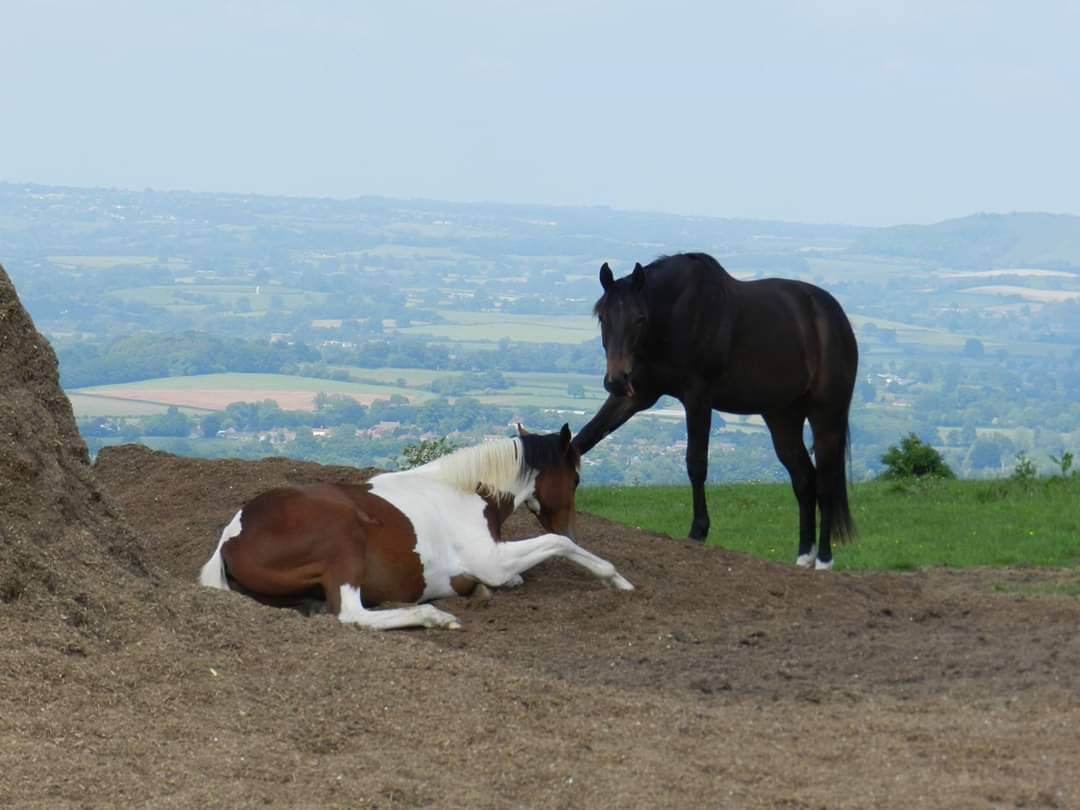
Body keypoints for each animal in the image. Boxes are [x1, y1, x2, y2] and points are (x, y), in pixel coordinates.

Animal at [198, 427, 630, 630]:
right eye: (576, 478)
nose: (571, 527)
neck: (466, 492)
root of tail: (230, 539)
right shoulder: (493, 561)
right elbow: (556, 544)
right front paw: (618, 580)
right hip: (344, 542)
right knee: (352, 614)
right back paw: (434, 616)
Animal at [574, 253, 859, 570]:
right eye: (603, 317)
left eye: (639, 319)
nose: (616, 380)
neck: (675, 315)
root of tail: (834, 316)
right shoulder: (638, 395)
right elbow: (584, 438)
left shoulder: (698, 397)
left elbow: (696, 463)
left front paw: (698, 530)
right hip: (782, 416)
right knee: (804, 480)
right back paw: (803, 558)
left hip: (827, 415)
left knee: (825, 482)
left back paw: (823, 560)